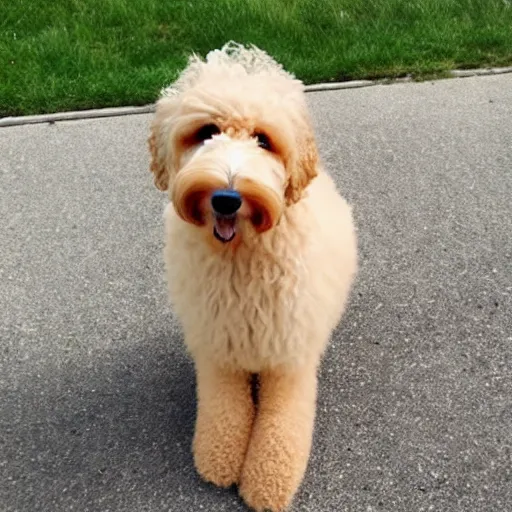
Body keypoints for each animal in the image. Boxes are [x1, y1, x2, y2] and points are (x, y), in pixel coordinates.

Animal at [147, 42, 356, 510]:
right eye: (207, 132)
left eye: (263, 139)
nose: (226, 198)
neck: (240, 257)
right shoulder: (217, 346)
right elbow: (223, 407)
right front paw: (218, 459)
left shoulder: (289, 354)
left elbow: (282, 423)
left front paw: (267, 482)